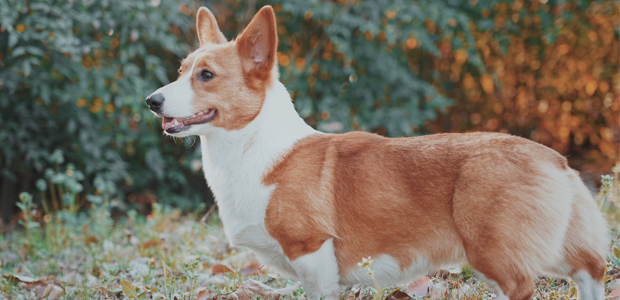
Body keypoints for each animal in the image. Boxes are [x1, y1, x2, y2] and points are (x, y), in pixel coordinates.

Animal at [147, 5, 612, 300]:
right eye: (180, 71)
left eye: (206, 76)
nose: (152, 101)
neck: (252, 145)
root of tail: (555, 159)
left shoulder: (312, 256)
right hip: (553, 250)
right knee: (590, 272)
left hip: (494, 253)